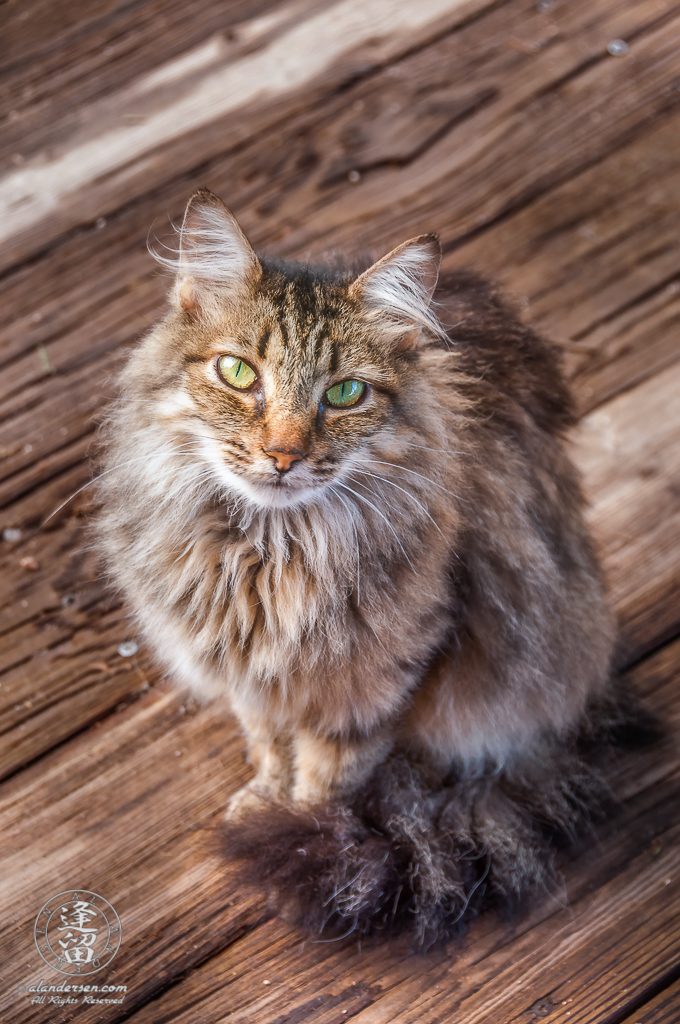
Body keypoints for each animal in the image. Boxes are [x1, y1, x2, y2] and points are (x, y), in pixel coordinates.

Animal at [99, 190, 647, 942]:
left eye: (345, 394)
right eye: (238, 374)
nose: (283, 454)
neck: (270, 556)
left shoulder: (373, 676)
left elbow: (328, 774)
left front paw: (306, 833)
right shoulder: (251, 670)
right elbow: (269, 741)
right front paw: (267, 802)